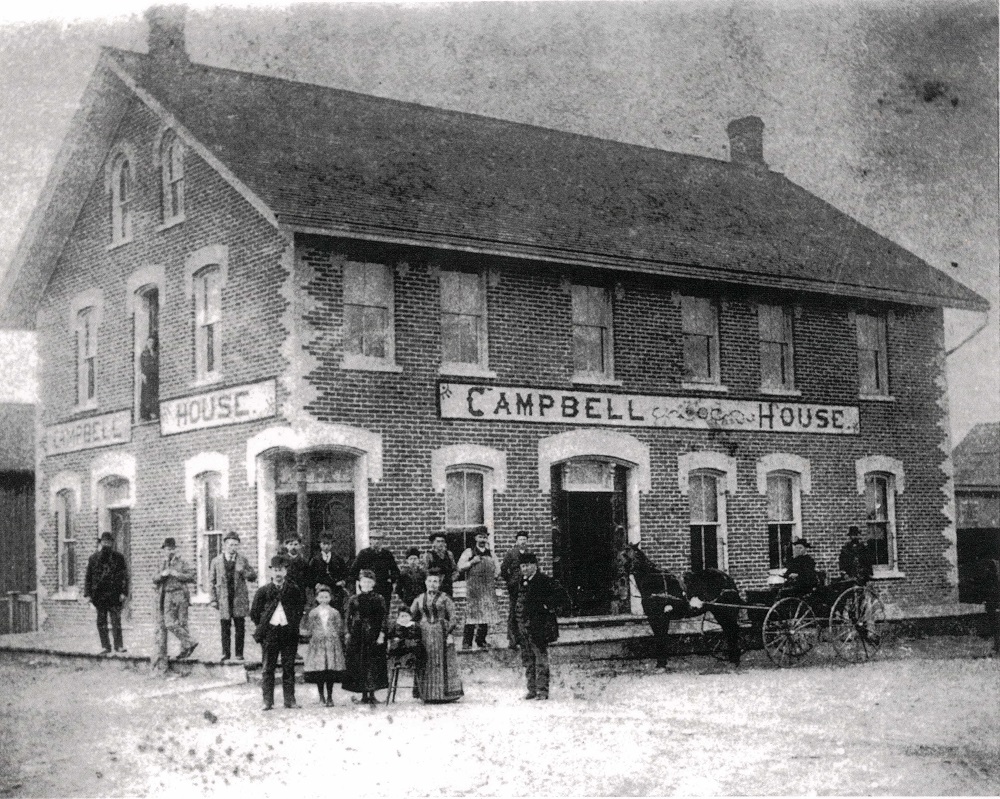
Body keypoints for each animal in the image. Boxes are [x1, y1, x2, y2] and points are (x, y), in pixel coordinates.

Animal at [612, 544, 748, 668]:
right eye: (618, 554)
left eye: (628, 554)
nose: (618, 574)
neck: (654, 583)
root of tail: (727, 578)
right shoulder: (653, 617)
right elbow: (658, 637)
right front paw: (660, 663)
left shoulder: (662, 616)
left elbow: (661, 637)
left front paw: (661, 664)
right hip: (720, 612)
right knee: (729, 630)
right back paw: (732, 658)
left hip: (725, 610)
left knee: (733, 630)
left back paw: (735, 659)